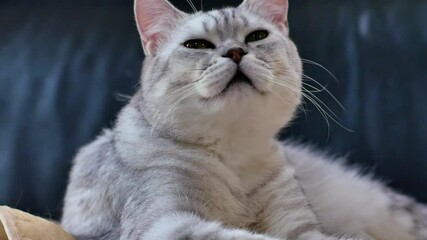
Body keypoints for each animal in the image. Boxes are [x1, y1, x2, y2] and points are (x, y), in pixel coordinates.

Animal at [61, 0, 427, 240]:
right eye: (197, 44)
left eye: (256, 37)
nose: (236, 51)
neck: (234, 155)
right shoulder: (165, 223)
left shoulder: (299, 224)